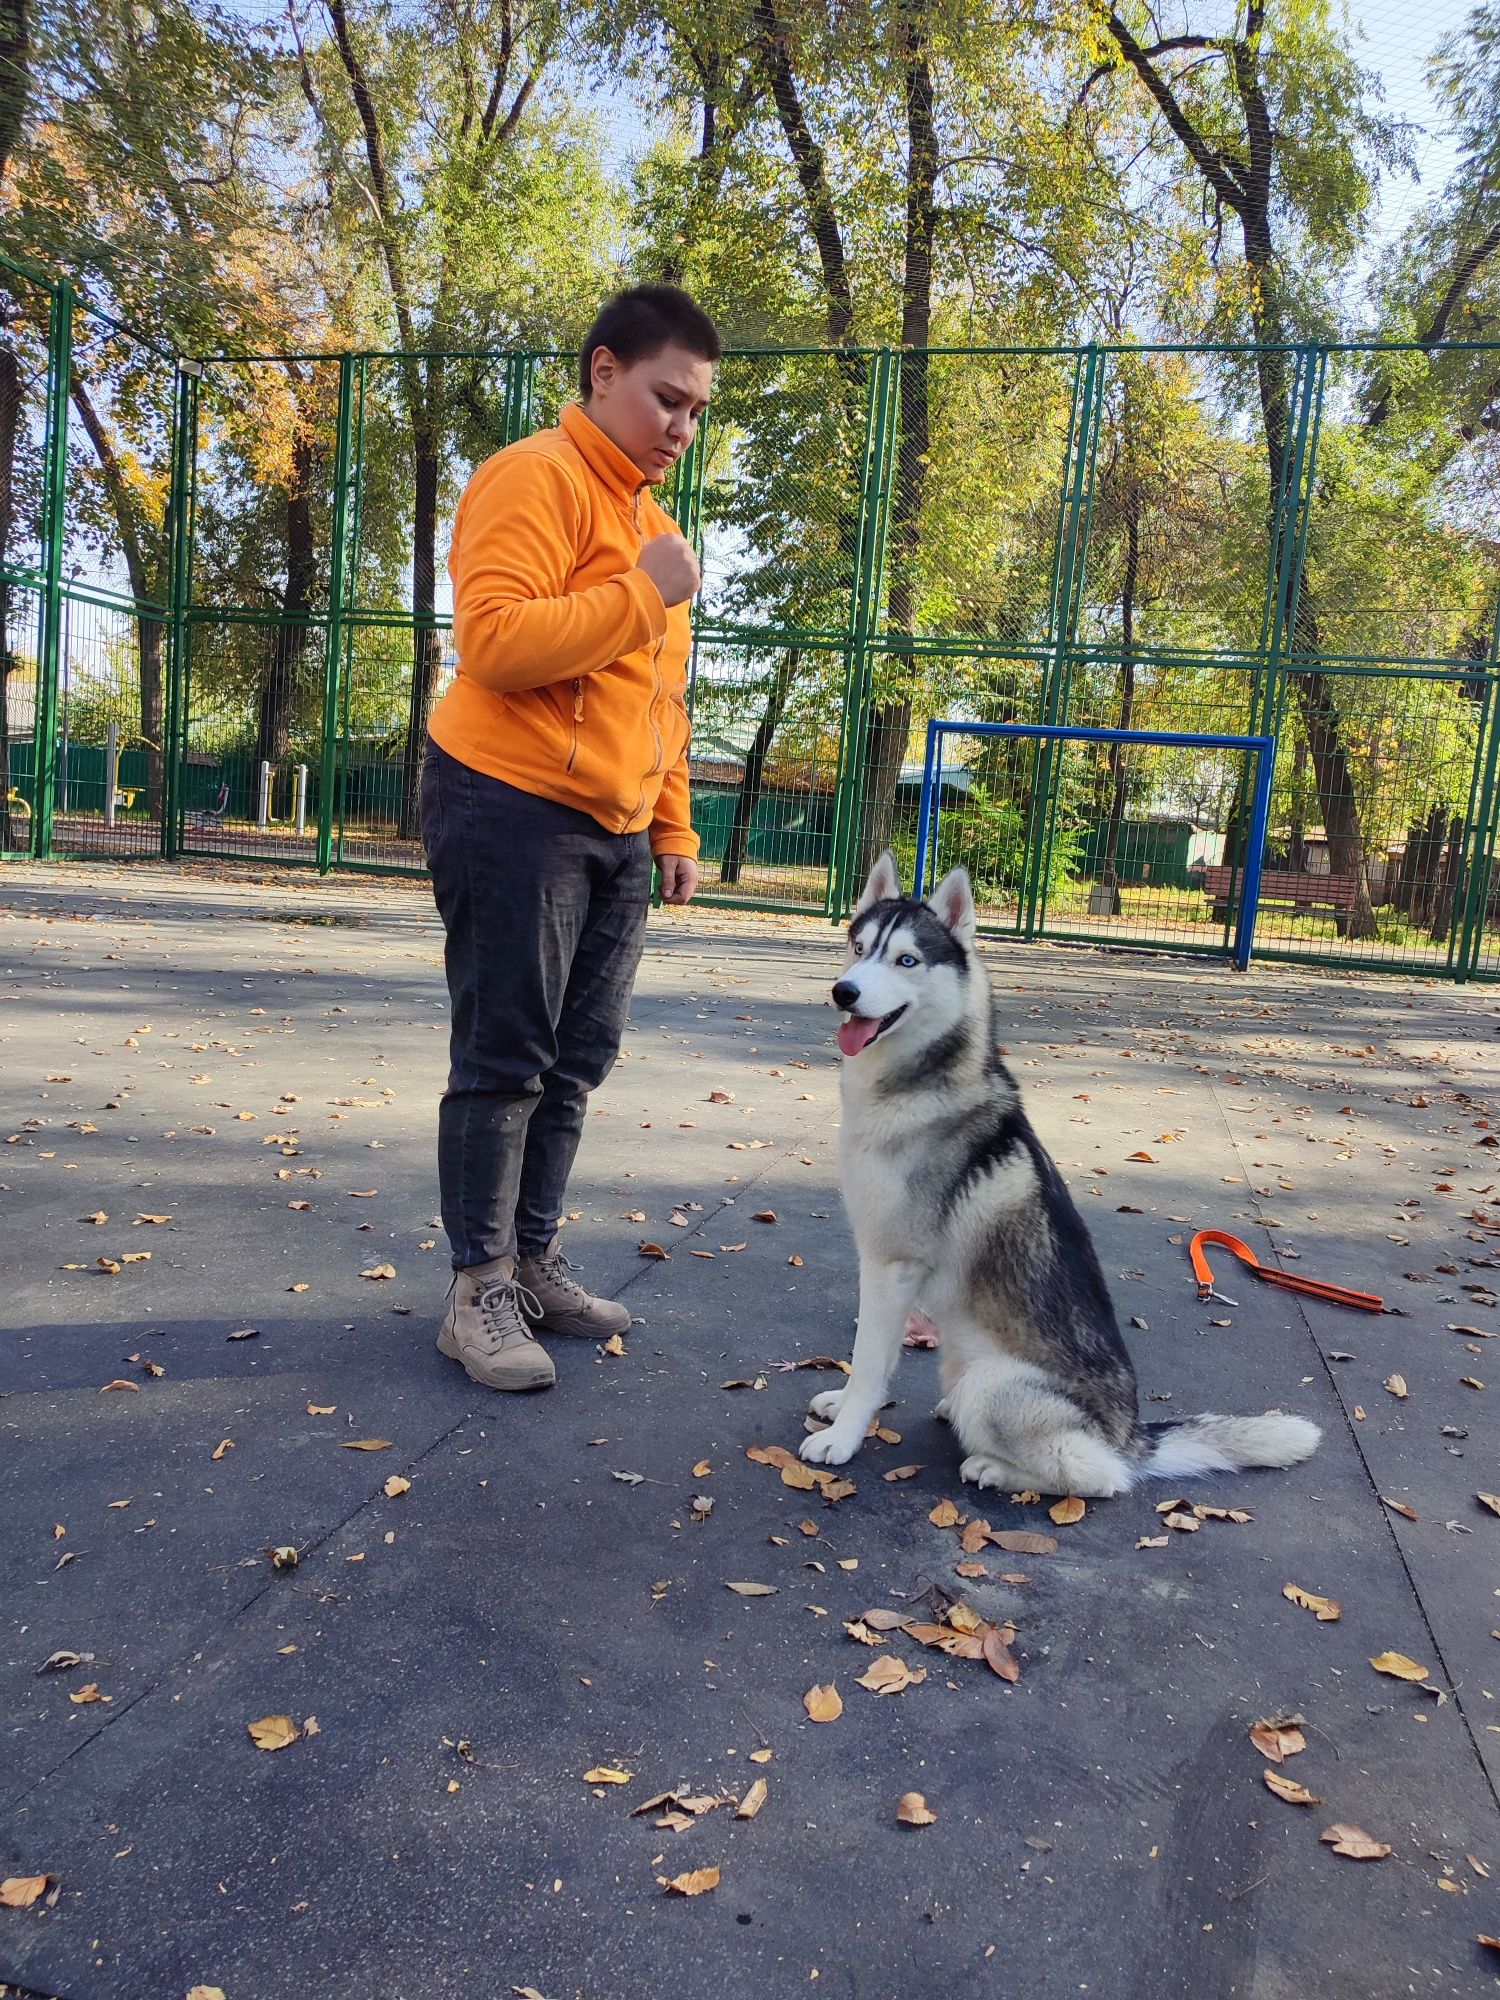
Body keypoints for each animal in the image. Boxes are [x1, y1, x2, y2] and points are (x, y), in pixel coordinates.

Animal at [804, 852, 1320, 1496]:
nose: (843, 992)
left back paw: (995, 1467)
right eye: (858, 948)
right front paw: (841, 1406)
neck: (913, 1085)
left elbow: (871, 1361)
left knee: (1099, 1475)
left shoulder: (892, 1266)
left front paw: (843, 1436)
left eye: (906, 960)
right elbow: (864, 1362)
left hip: (991, 1387)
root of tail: (1131, 1436)